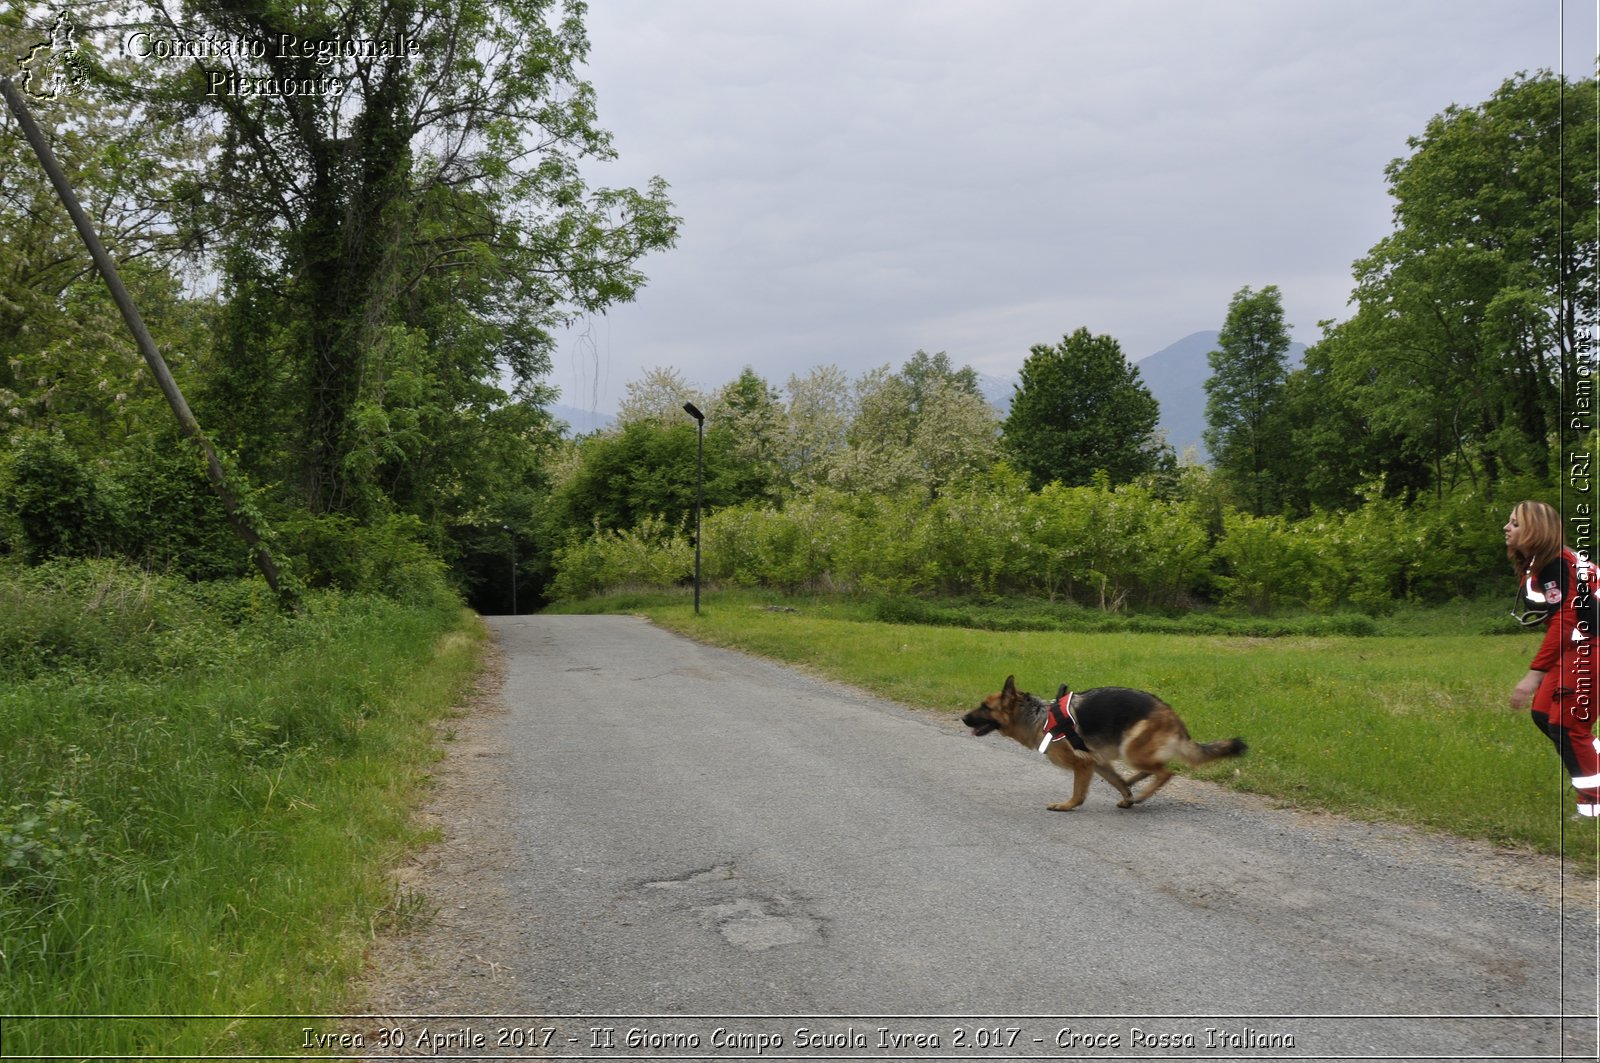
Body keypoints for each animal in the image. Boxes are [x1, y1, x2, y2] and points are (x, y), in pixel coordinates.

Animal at [953, 675, 1241, 810]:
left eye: (985, 707)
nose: (963, 718)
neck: (1039, 717)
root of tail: (1172, 713)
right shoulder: (1098, 763)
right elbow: (1117, 783)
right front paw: (1126, 796)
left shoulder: (1083, 765)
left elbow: (1078, 793)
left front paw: (1066, 806)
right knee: (1147, 771)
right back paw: (1134, 786)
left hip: (1131, 750)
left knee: (1166, 772)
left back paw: (1144, 792)